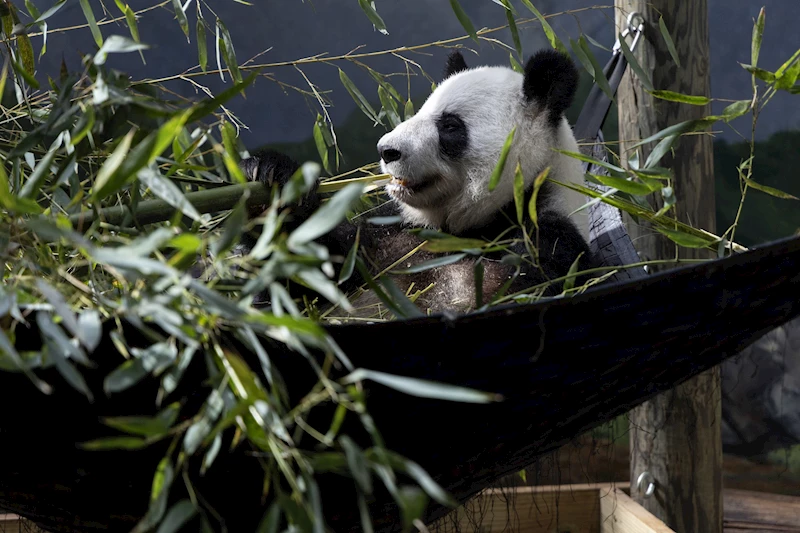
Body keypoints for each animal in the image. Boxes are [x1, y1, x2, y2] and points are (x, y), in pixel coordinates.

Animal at [238, 47, 600, 318]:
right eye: (418, 111)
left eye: (450, 126)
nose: (387, 150)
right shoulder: (386, 236)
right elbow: (304, 282)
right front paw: (271, 181)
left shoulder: (548, 243)